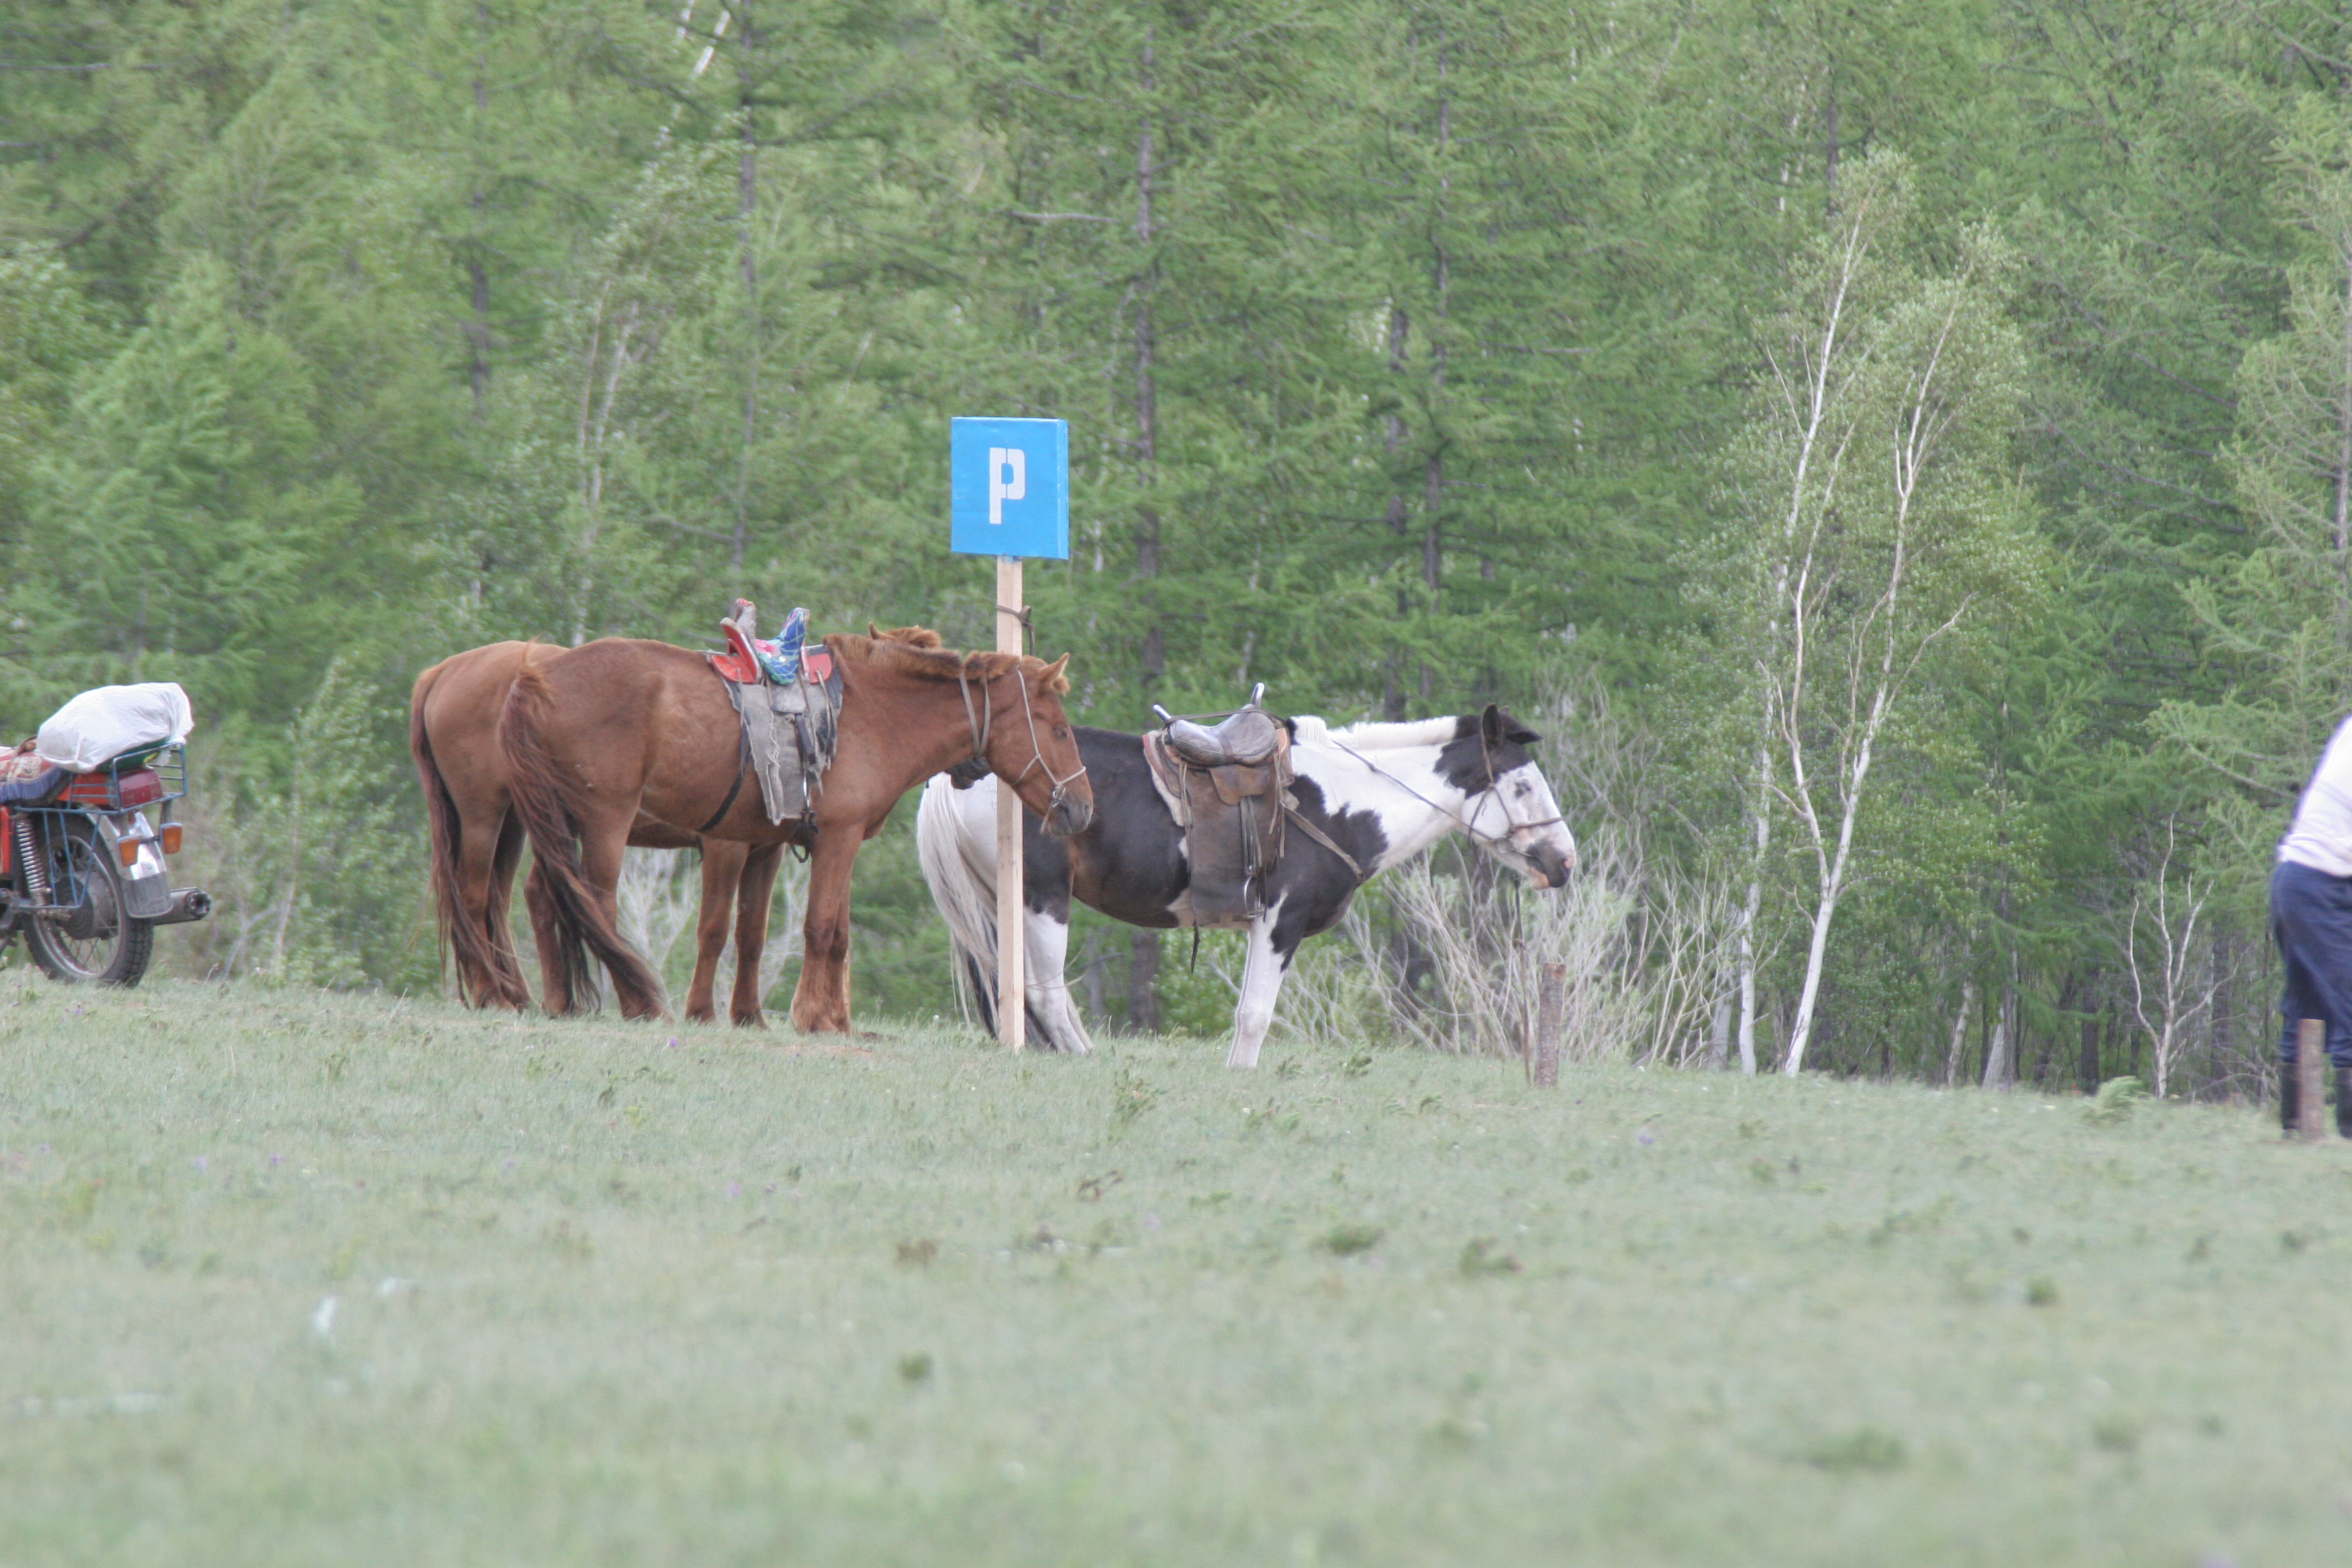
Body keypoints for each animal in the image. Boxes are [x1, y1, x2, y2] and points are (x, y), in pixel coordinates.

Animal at [410, 642, 778, 1024]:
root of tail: (445, 671)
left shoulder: (767, 850)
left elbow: (753, 932)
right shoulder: (725, 846)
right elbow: (715, 928)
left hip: (516, 825)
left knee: (506, 901)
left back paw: (526, 996)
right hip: (484, 817)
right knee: (475, 897)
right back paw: (494, 994)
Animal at [500, 626, 1093, 1032]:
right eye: (1060, 730)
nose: (1083, 809)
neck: (873, 715)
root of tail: (537, 677)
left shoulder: (782, 845)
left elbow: (781, 934)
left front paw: (787, 1017)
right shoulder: (830, 840)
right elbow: (818, 928)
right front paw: (810, 1015)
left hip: (563, 824)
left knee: (547, 896)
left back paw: (559, 1001)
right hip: (605, 823)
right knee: (595, 901)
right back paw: (633, 1001)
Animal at [916, 705, 1577, 1068]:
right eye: (1522, 787)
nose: (1564, 861)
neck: (1344, 801)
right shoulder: (1280, 923)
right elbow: (1255, 1015)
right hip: (1042, 899)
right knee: (1045, 992)